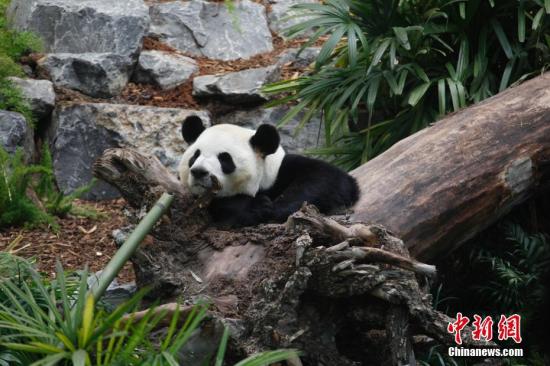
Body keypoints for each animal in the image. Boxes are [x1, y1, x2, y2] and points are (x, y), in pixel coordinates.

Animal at [178, 116, 362, 227]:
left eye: (225, 159)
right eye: (195, 156)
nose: (199, 172)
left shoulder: (280, 170)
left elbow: (325, 178)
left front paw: (277, 208)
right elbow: (226, 208)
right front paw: (259, 207)